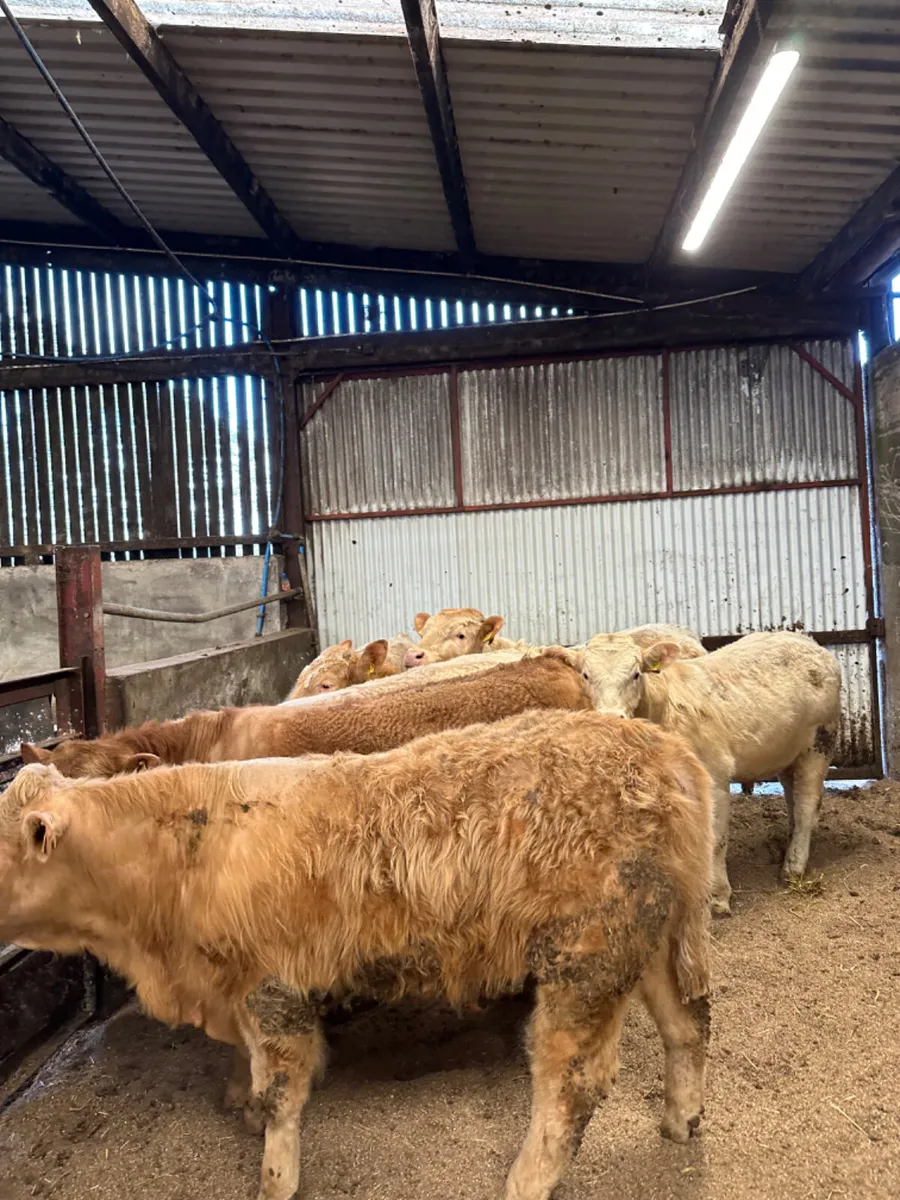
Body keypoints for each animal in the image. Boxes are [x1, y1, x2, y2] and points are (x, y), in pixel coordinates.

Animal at [0, 708, 713, 1200]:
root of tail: (664, 749)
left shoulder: (273, 988)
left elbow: (280, 1091)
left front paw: (275, 1179)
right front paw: (240, 1104)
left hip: (586, 957)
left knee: (571, 1080)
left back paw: (525, 1181)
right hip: (647, 941)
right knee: (687, 1025)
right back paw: (681, 1120)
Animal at [546, 631, 842, 913]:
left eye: (636, 674)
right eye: (586, 675)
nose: (611, 718)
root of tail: (808, 642)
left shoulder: (714, 775)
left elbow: (715, 840)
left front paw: (718, 897)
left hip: (819, 742)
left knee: (806, 804)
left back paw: (793, 868)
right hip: (789, 750)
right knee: (794, 798)